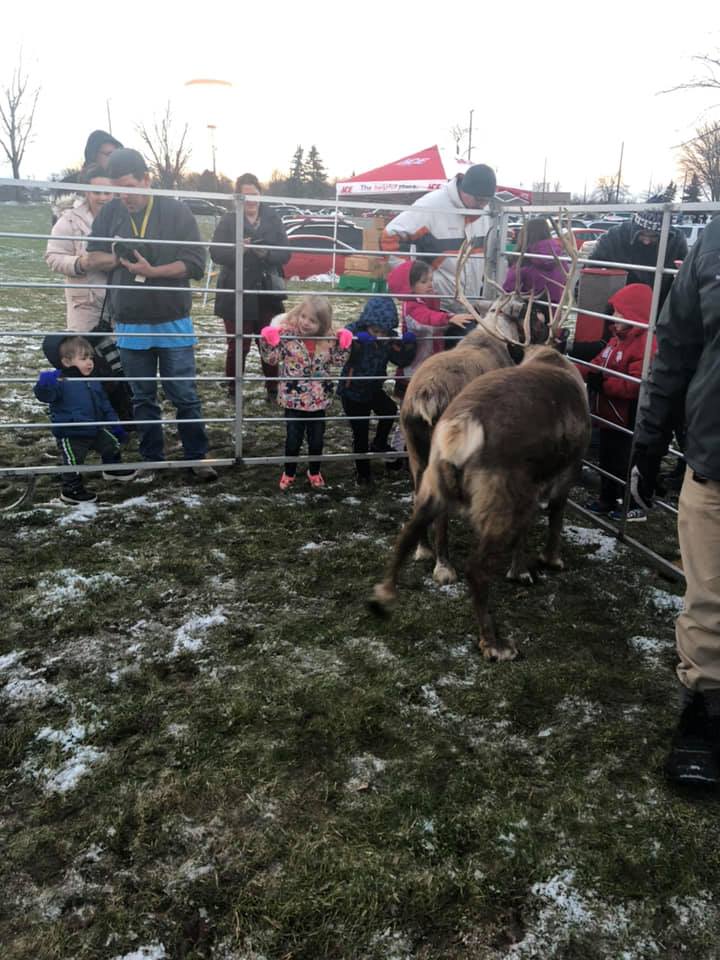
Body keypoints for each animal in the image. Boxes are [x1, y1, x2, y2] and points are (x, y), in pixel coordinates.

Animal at [371, 344, 591, 661]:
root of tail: (459, 428)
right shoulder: (564, 473)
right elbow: (555, 516)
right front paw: (548, 560)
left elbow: (527, 528)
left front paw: (520, 570)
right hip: (498, 499)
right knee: (475, 569)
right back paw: (494, 644)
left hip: (432, 483)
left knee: (406, 534)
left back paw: (385, 595)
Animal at [400, 213, 580, 586]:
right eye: (537, 316)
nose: (561, 334)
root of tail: (424, 397)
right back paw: (444, 566)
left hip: (413, 447)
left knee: (416, 493)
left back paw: (423, 550)